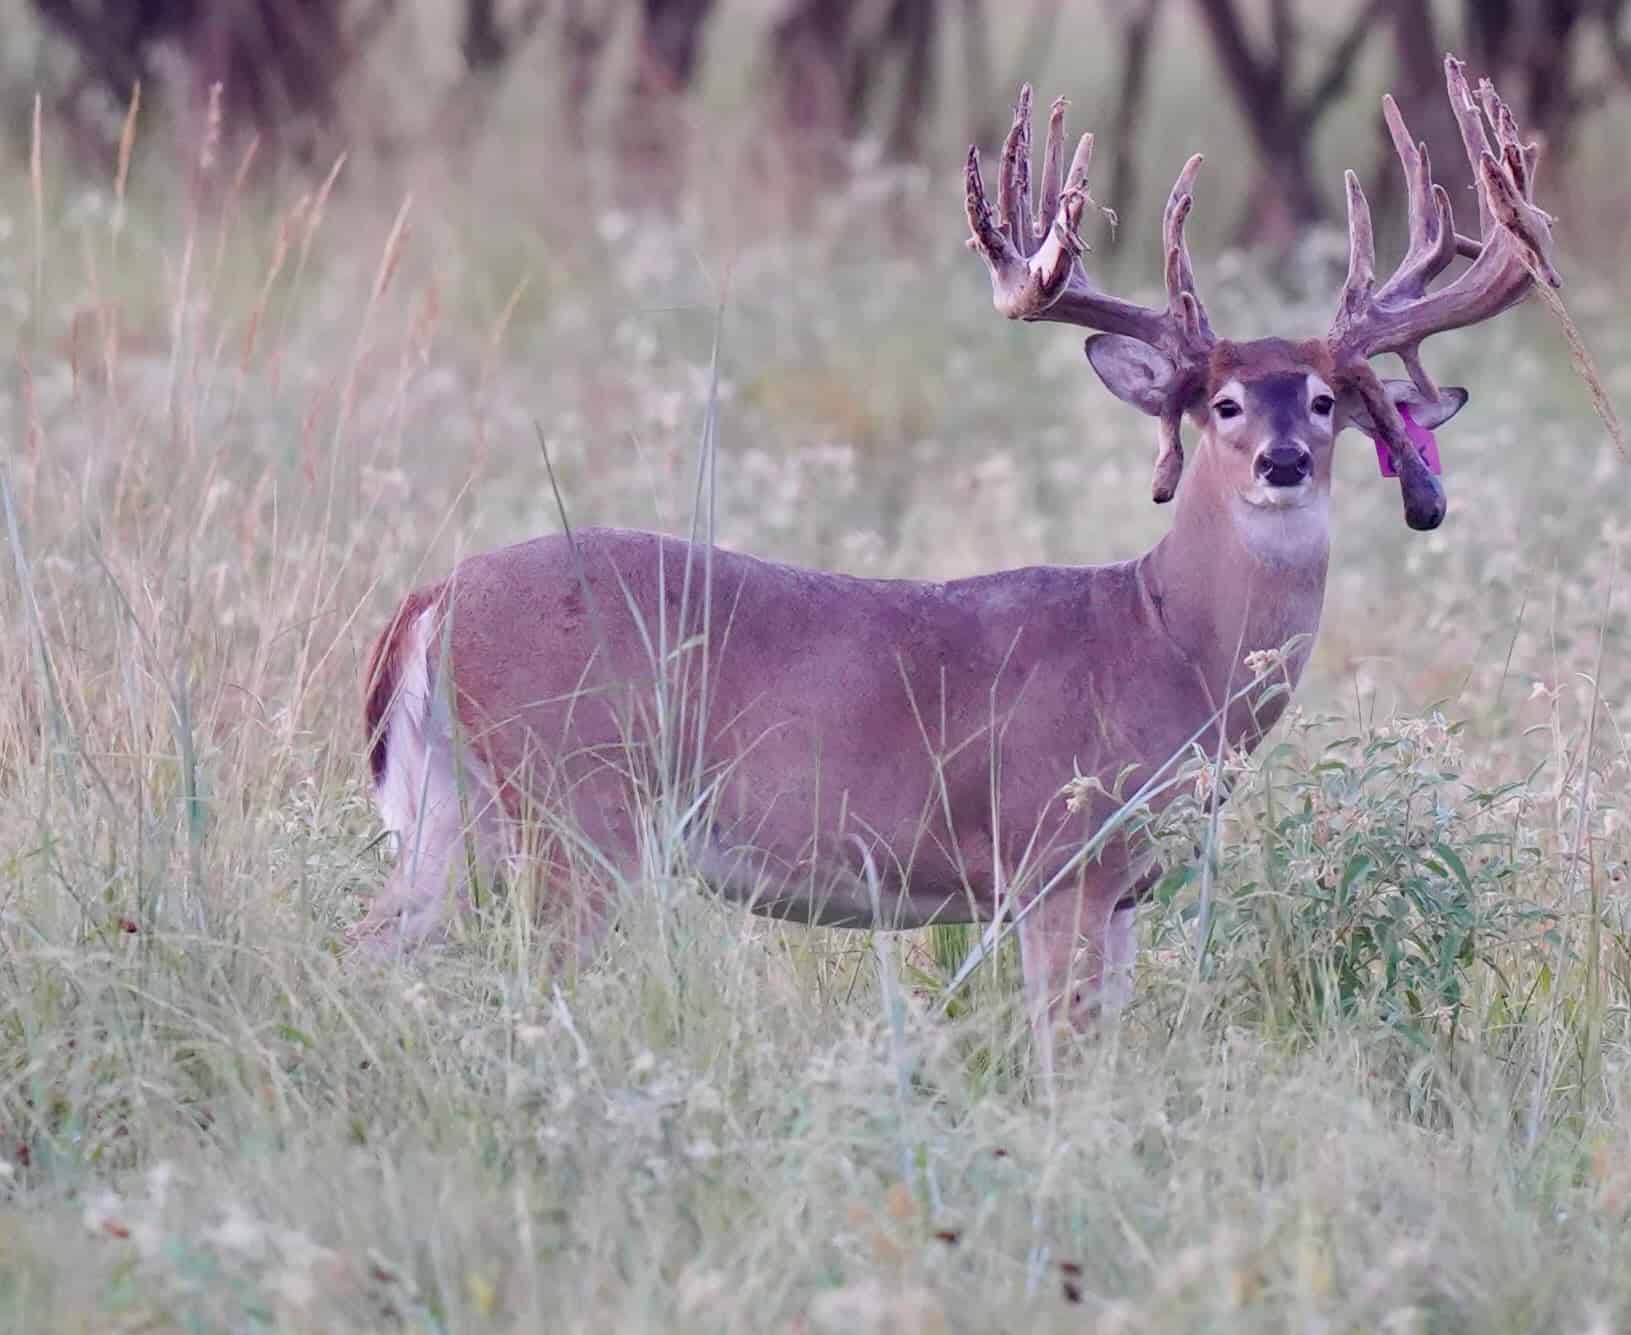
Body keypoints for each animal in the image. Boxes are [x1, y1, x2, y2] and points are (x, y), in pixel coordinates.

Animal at [353, 57, 1558, 1072]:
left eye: (1318, 399)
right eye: (1219, 402)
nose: (1282, 459)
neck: (1166, 646)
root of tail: (436, 596)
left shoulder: (1126, 887)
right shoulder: (1054, 854)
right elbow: (1061, 1052)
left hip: (441, 802)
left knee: (378, 949)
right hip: (577, 803)